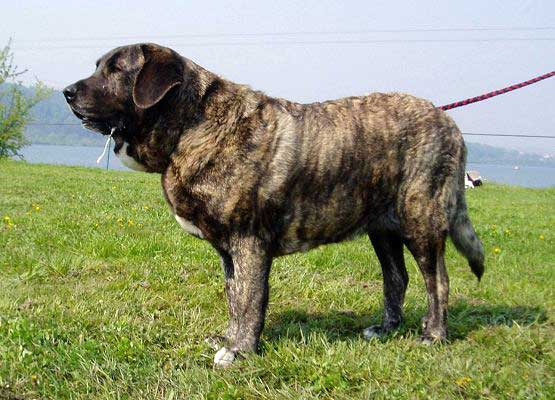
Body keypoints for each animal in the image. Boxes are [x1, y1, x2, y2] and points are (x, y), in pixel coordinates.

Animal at [63, 43, 484, 366]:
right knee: (397, 278)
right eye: (98, 66)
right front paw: (228, 340)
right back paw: (384, 329)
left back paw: (434, 334)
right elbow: (234, 298)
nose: (67, 91)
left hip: (421, 222)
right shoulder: (229, 252)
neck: (190, 127)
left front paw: (239, 352)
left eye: (116, 70)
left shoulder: (248, 242)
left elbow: (250, 300)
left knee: (437, 281)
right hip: (383, 230)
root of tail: (448, 122)